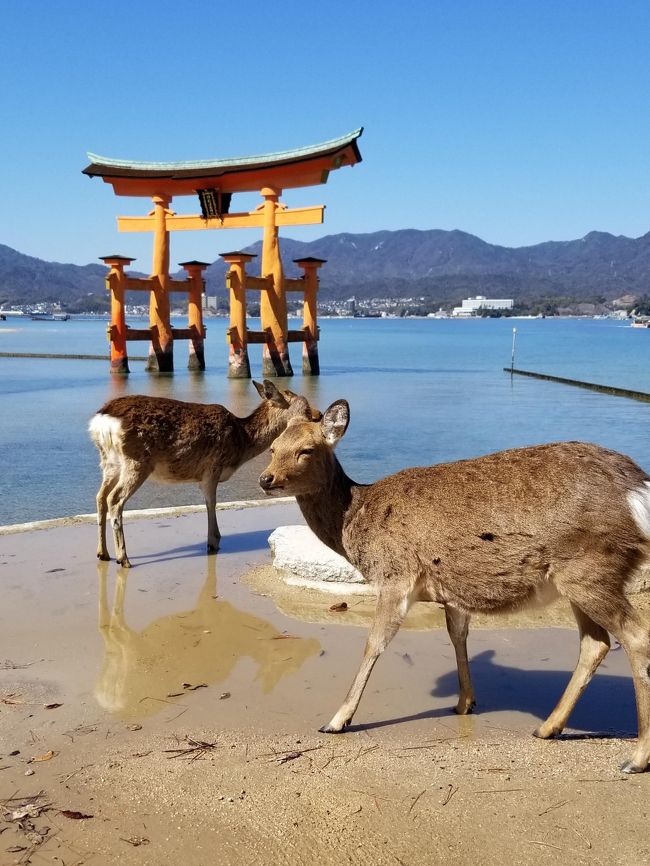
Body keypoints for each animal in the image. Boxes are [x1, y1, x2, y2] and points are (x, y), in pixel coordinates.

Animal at [88, 380, 316, 568]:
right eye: (305, 406)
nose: (318, 415)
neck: (242, 442)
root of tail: (101, 422)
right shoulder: (212, 469)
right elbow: (211, 503)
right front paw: (213, 542)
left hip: (109, 462)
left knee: (100, 497)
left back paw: (103, 553)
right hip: (137, 462)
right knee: (114, 499)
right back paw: (123, 558)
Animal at [258, 402, 648, 772]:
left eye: (307, 449)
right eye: (273, 447)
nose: (266, 479)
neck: (356, 520)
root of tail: (638, 489)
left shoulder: (395, 575)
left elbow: (374, 644)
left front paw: (337, 719)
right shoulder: (451, 590)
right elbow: (457, 635)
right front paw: (464, 704)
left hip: (590, 568)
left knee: (635, 636)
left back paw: (636, 757)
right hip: (585, 576)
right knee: (596, 643)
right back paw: (548, 727)